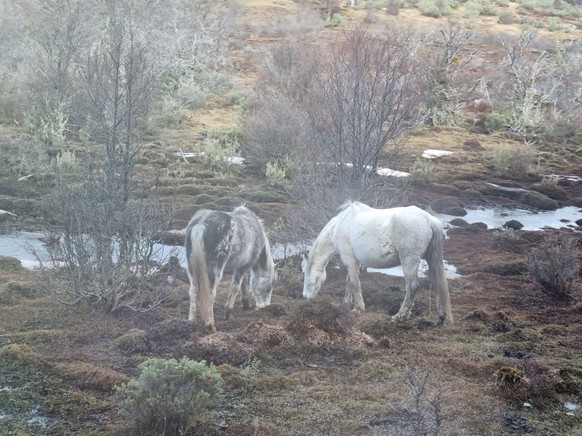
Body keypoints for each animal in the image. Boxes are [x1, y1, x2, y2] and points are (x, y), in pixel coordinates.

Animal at [304, 201, 454, 324]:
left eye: (305, 274)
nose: (305, 297)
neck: (341, 224)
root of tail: (429, 219)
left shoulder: (349, 260)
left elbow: (354, 283)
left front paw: (358, 308)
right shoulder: (354, 262)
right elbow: (349, 282)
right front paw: (346, 303)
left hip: (409, 260)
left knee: (412, 287)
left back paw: (400, 316)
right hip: (430, 258)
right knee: (438, 283)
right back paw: (441, 317)